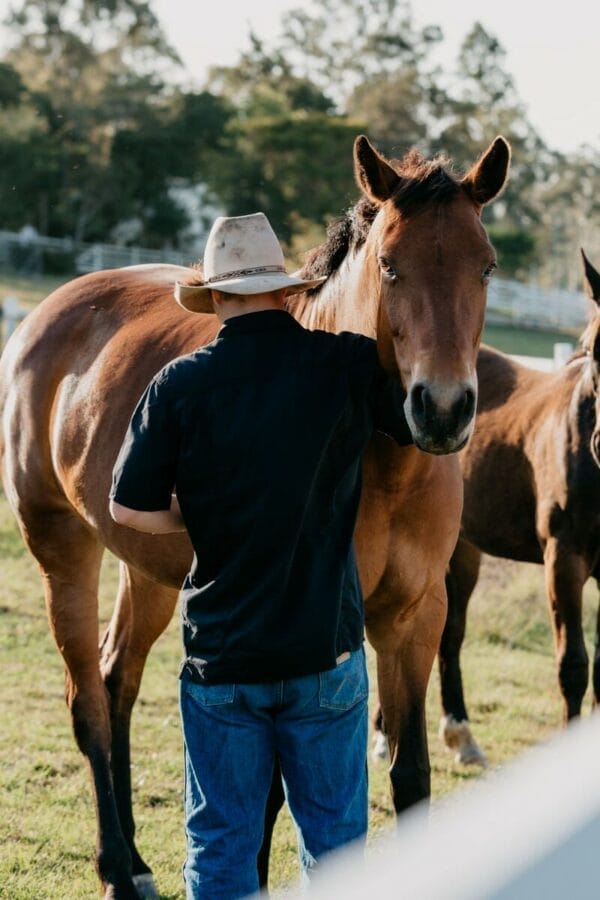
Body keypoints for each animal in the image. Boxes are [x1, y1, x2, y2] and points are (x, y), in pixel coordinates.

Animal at [0, 130, 508, 896]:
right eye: (389, 265)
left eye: (486, 267)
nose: (442, 409)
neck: (384, 464)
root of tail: (47, 315)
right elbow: (266, 795)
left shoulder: (414, 621)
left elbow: (411, 776)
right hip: (62, 550)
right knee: (87, 701)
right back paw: (116, 866)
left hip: (149, 574)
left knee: (118, 683)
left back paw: (138, 862)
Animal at [436, 251, 600, 768]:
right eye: (595, 350)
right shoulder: (564, 561)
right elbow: (573, 667)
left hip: (462, 552)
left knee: (447, 633)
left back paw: (461, 736)